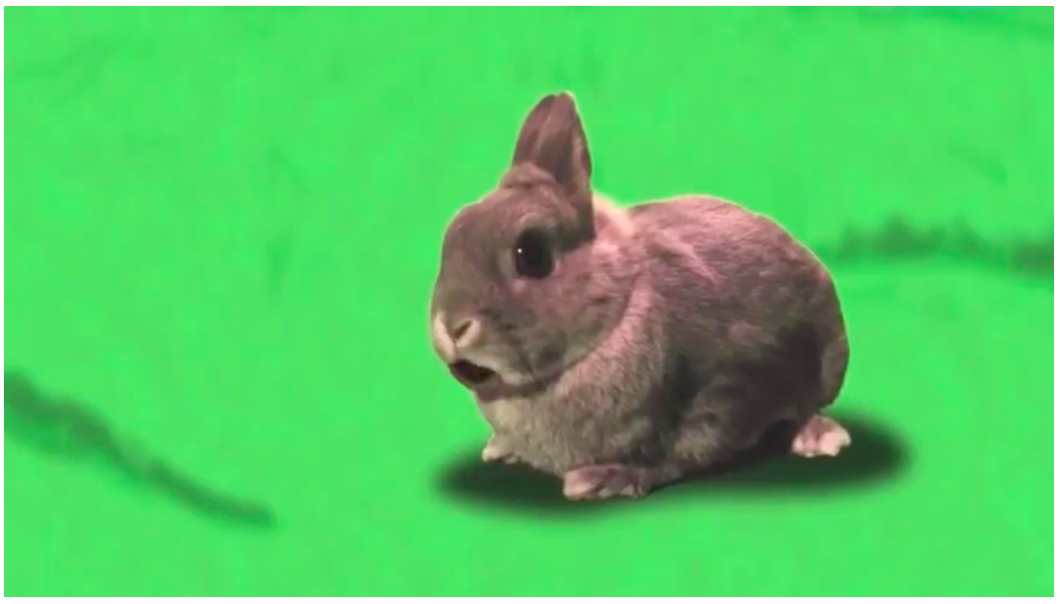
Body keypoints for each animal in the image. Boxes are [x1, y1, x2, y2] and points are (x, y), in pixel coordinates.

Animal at [429, 92, 851, 501]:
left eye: (532, 255)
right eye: (451, 236)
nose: (450, 326)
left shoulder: (724, 394)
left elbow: (678, 457)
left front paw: (607, 479)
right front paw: (503, 448)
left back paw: (819, 437)